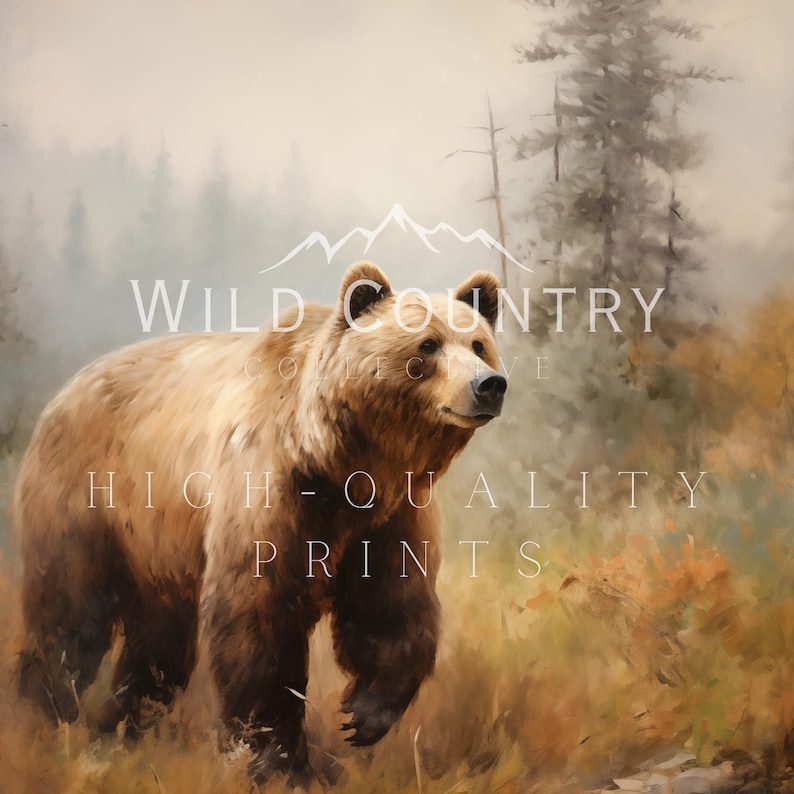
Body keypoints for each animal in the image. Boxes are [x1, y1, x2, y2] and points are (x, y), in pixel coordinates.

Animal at [15, 261, 506, 781]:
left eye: (478, 343)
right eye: (428, 344)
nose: (489, 384)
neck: (344, 464)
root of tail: (65, 391)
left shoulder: (388, 517)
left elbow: (392, 605)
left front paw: (363, 714)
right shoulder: (272, 489)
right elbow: (258, 614)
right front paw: (278, 760)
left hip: (157, 543)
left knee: (158, 637)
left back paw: (124, 726)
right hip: (90, 501)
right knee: (68, 615)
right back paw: (42, 721)